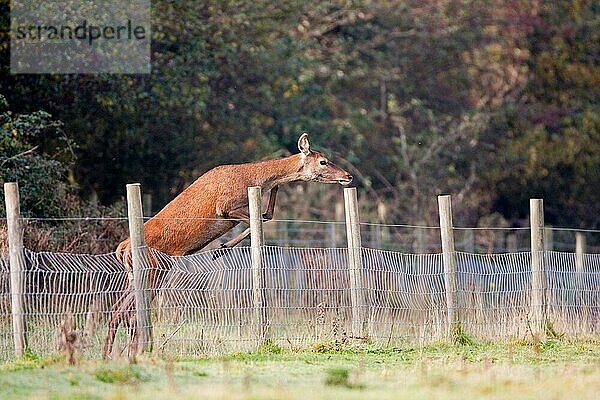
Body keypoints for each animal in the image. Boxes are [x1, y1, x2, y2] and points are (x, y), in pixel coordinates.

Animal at [102, 132, 352, 360]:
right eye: (323, 161)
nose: (348, 176)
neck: (252, 179)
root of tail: (122, 249)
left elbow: (267, 214)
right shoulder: (226, 207)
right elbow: (260, 219)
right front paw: (224, 246)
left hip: (137, 274)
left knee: (117, 310)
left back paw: (109, 354)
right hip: (155, 268)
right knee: (132, 312)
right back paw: (133, 352)